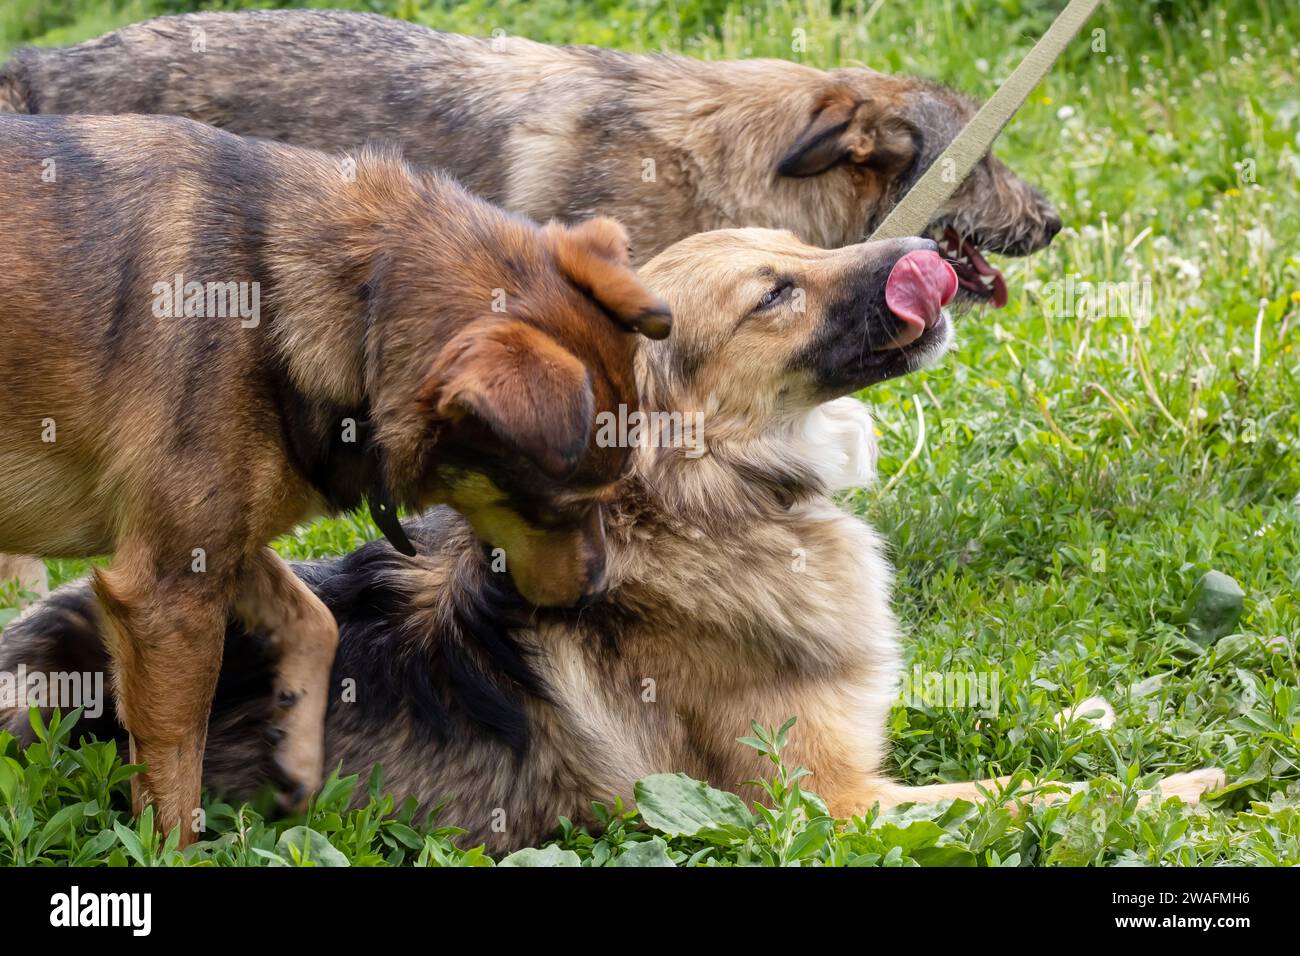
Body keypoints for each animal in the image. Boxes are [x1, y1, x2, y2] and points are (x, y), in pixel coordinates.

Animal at [0, 113, 670, 842]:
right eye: (560, 507)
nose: (594, 595)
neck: (357, 297)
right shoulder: (167, 592)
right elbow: (175, 764)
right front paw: (174, 848)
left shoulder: (224, 545)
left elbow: (314, 617)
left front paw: (295, 744)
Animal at [0, 227, 1222, 858]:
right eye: (777, 291)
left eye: (803, 239)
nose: (930, 247)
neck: (705, 500)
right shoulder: (829, 808)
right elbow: (1014, 793)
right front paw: (1176, 783)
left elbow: (987, 729)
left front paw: (1101, 718)